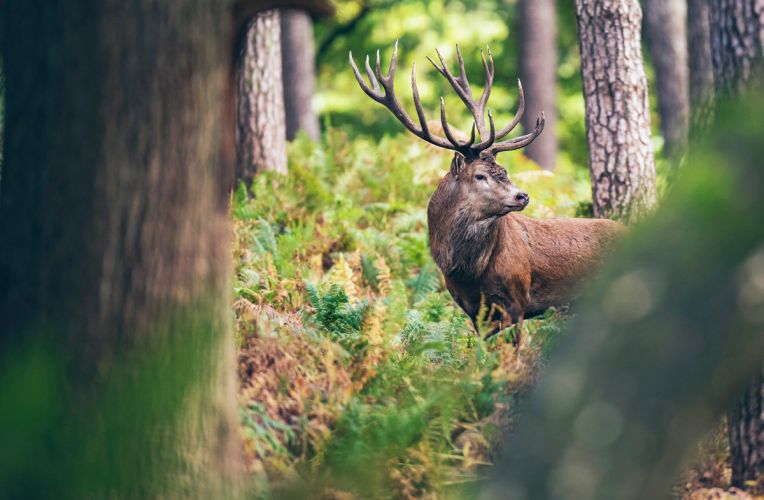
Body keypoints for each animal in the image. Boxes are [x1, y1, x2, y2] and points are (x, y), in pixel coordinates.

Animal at [349, 43, 624, 344]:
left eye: (504, 170)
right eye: (480, 175)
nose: (522, 196)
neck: (470, 273)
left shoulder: (517, 300)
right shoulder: (471, 308)